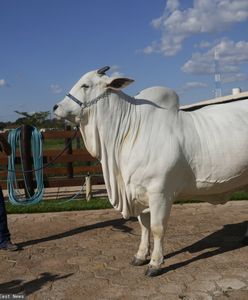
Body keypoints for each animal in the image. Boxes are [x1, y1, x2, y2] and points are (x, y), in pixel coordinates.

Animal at [53, 66, 248, 276]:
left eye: (85, 85)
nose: (55, 107)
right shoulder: (138, 192)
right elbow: (144, 226)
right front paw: (140, 256)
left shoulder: (159, 192)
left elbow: (157, 227)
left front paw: (155, 263)